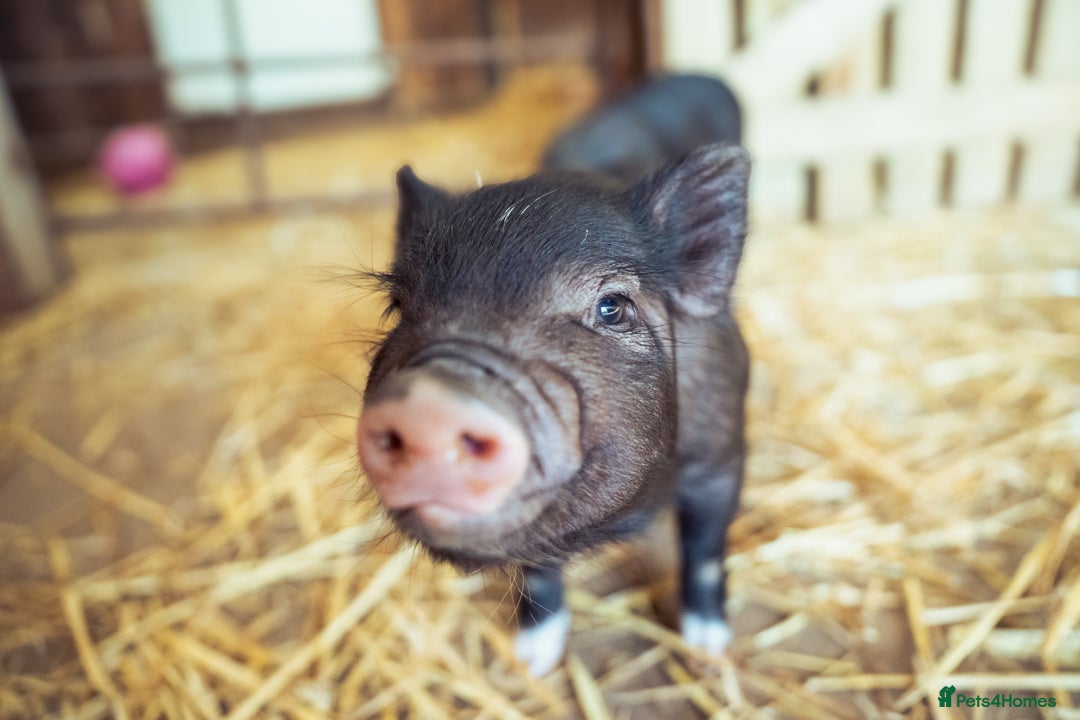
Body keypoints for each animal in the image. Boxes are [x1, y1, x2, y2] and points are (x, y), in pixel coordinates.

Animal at [356, 141, 750, 675]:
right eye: (398, 307)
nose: (427, 404)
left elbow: (705, 551)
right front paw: (528, 663)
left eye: (611, 306)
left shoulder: (722, 456)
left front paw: (707, 655)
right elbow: (538, 571)